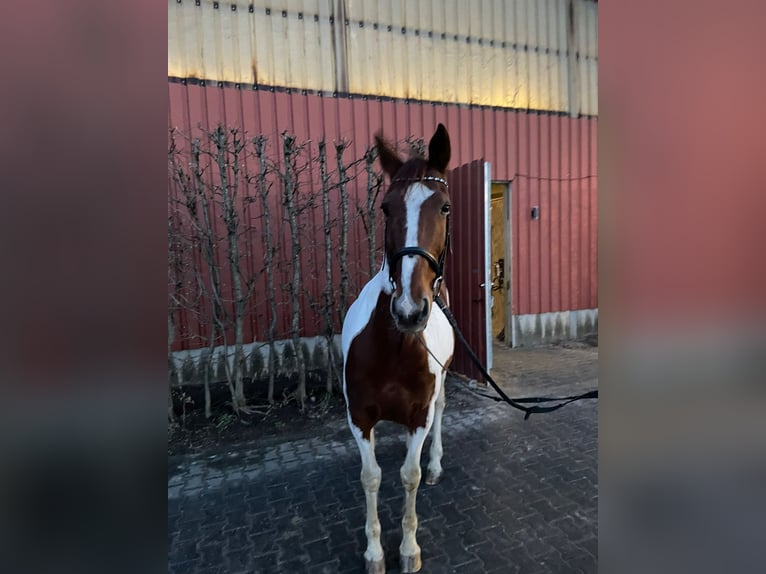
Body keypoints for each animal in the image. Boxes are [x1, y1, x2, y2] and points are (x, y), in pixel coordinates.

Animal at [342, 126, 456, 574]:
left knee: (442, 412)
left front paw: (409, 549)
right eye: (387, 208)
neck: (394, 347)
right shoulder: (359, 417)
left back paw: (437, 463)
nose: (409, 310)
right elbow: (370, 476)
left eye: (444, 207)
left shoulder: (419, 416)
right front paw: (374, 552)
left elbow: (410, 476)